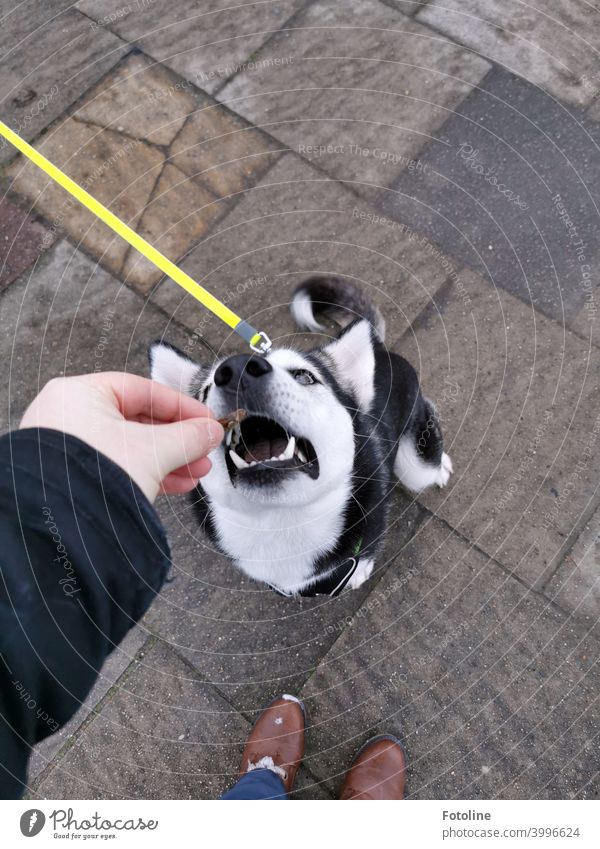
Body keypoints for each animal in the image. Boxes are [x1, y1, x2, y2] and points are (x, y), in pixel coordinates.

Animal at [149, 278, 450, 596]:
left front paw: (358, 571)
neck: (283, 521)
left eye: (305, 376)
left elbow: (365, 551)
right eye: (204, 392)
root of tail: (379, 349)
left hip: (416, 466)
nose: (239, 370)